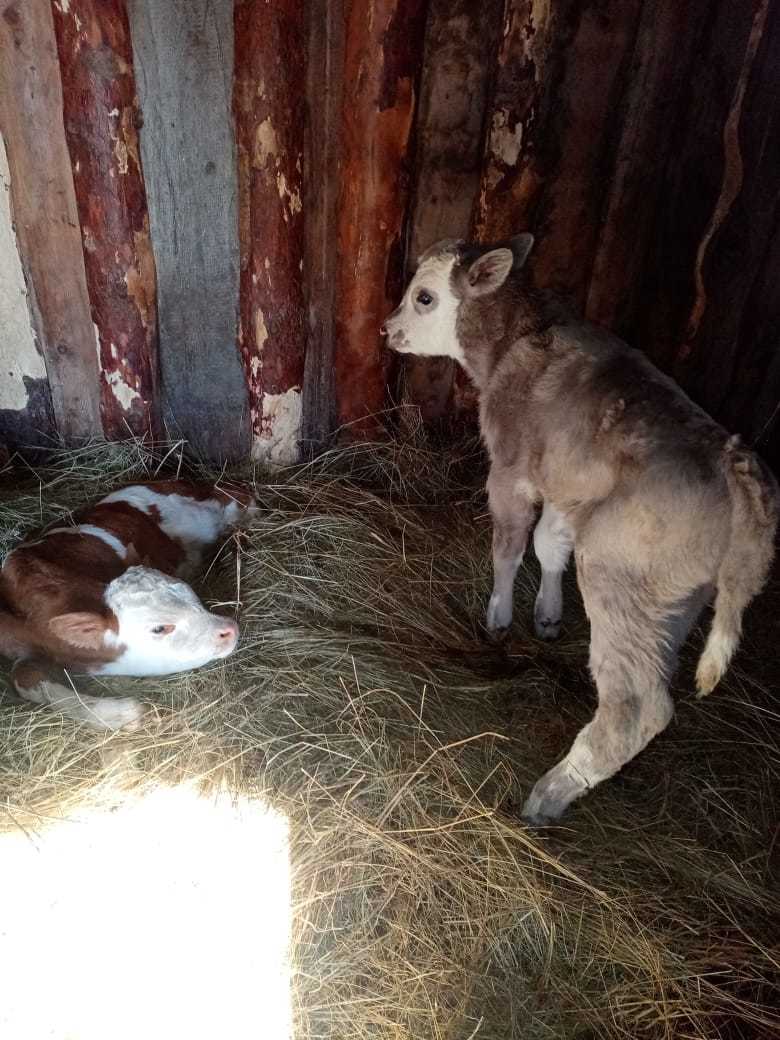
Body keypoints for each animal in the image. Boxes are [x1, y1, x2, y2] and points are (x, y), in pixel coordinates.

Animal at [382, 233, 777, 819]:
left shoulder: (512, 468)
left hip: (621, 579)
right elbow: (549, 544)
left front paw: (499, 616)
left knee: (635, 710)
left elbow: (510, 544)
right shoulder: (568, 488)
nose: (388, 330)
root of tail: (736, 462)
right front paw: (547, 616)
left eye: (424, 298)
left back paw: (546, 797)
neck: (517, 340)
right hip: (676, 601)